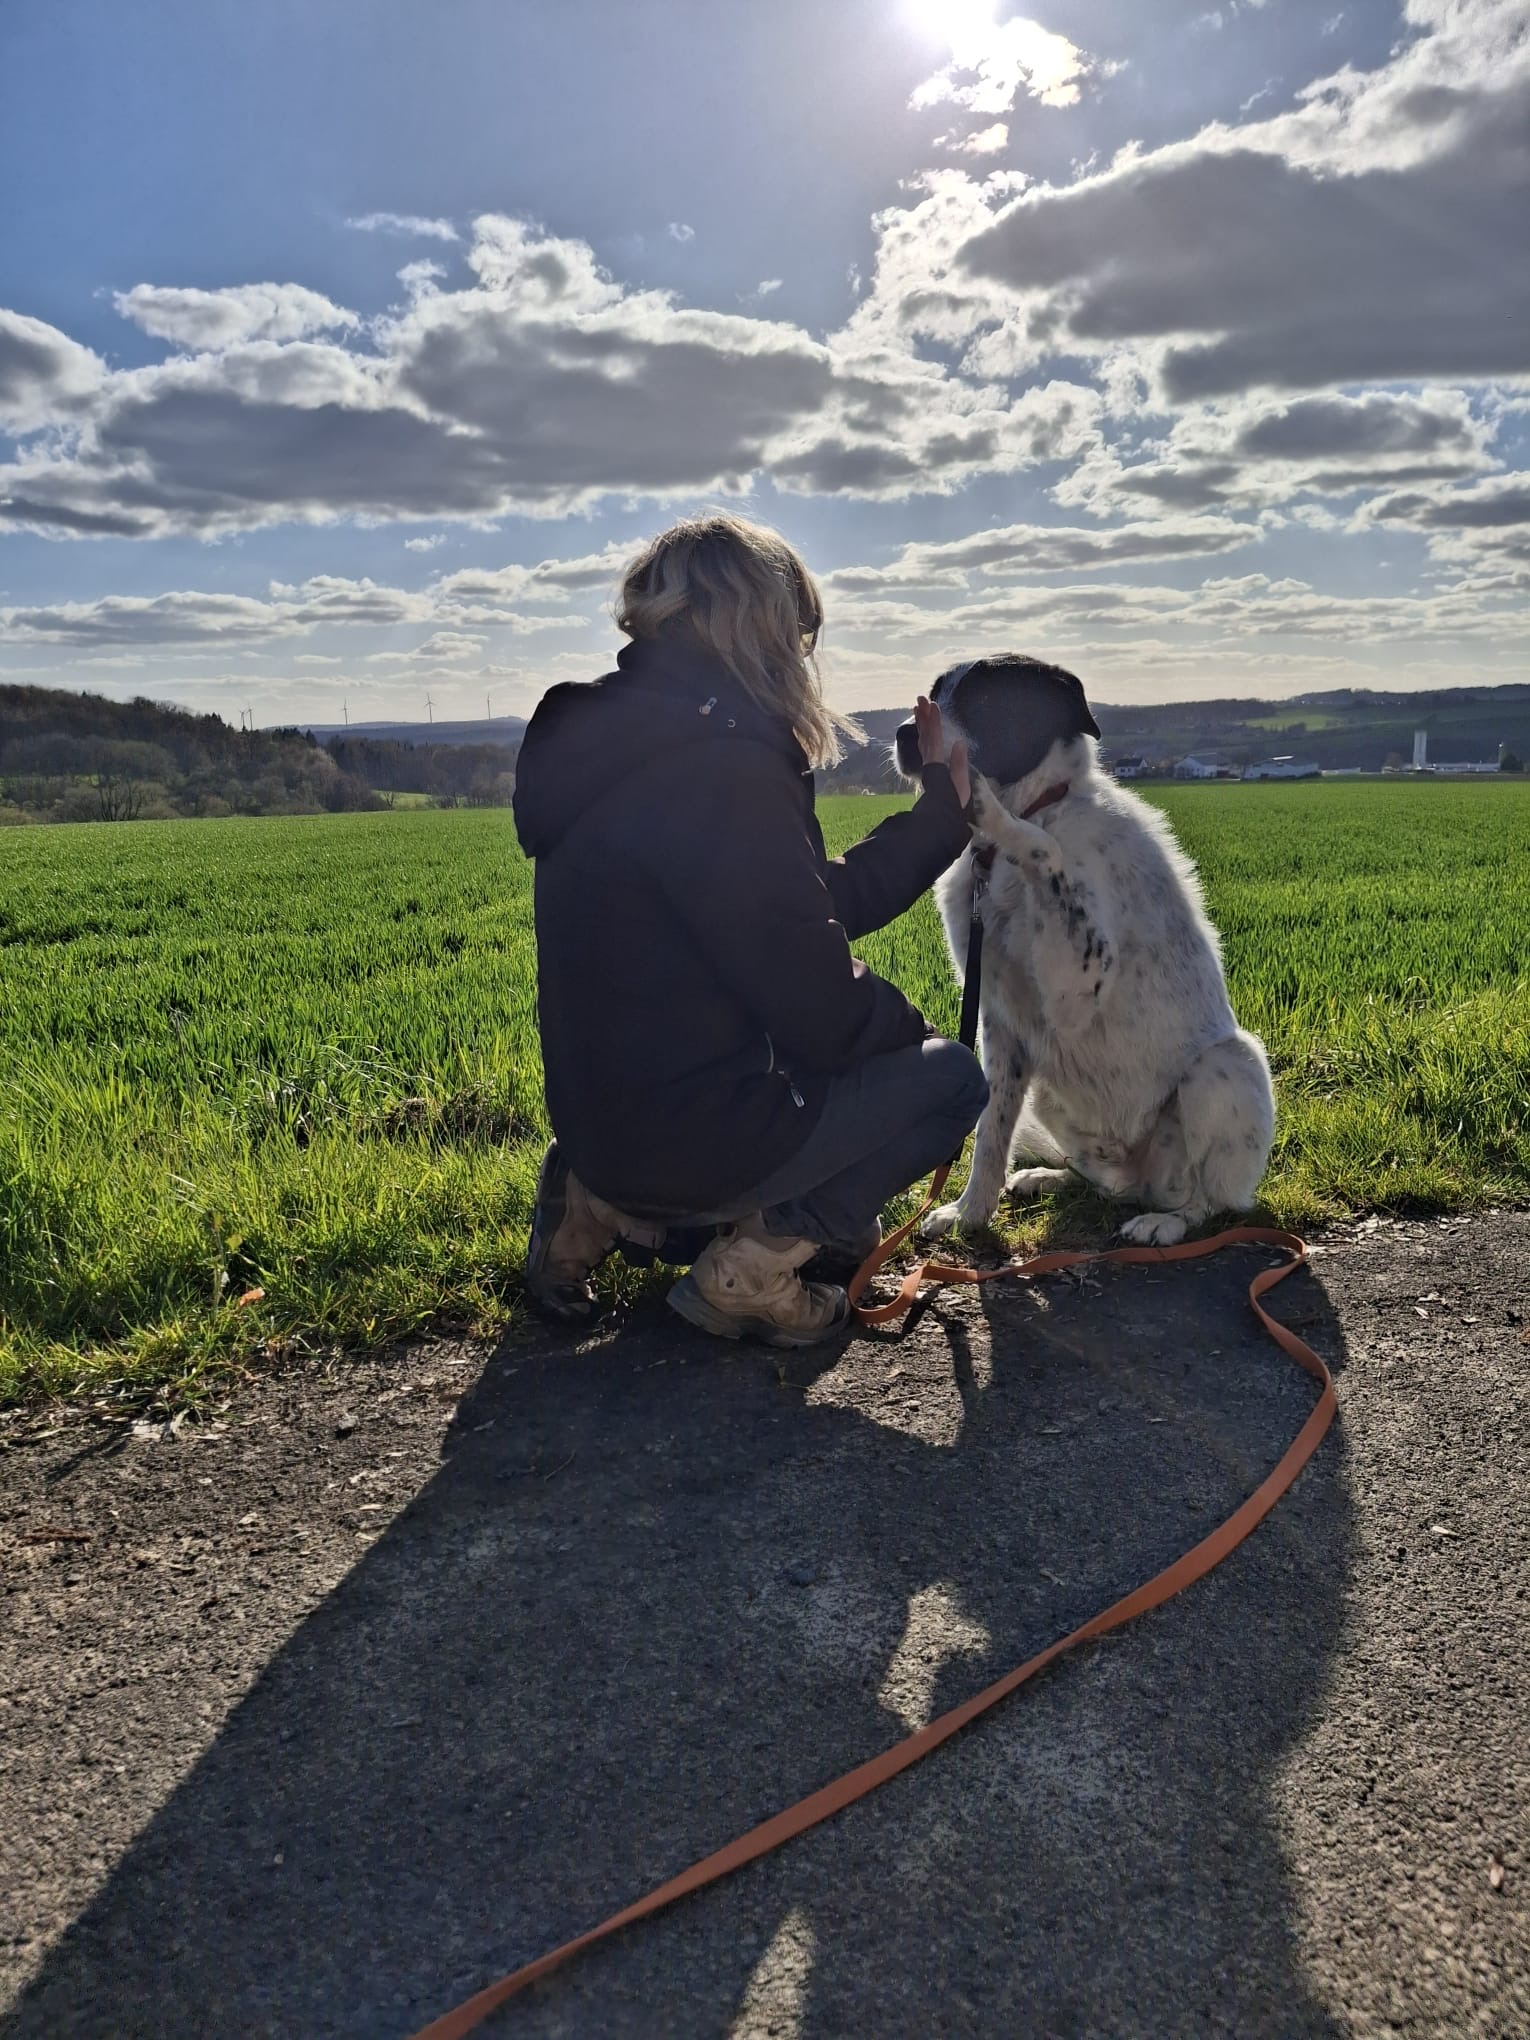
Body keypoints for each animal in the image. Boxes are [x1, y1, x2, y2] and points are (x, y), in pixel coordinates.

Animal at [895, 654, 1274, 1247]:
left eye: (984, 700)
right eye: (933, 694)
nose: (904, 734)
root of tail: (1140, 1176)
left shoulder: (1076, 987)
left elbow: (1044, 849)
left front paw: (988, 808)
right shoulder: (1000, 1022)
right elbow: (989, 1133)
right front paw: (969, 1213)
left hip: (1228, 1066)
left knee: (1209, 1202)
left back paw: (1165, 1222)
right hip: (1050, 1094)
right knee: (1103, 1183)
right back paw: (1048, 1178)